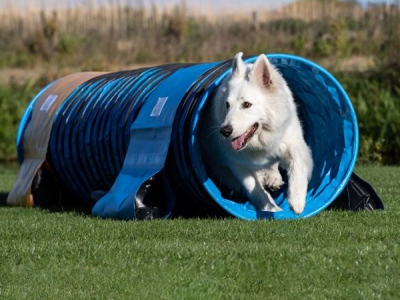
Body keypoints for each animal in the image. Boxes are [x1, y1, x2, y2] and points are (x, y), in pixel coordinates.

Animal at [200, 53, 312, 213]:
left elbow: (297, 164)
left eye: (247, 104)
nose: (225, 131)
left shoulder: (292, 140)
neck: (261, 138)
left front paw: (297, 200)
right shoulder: (235, 162)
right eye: (227, 105)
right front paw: (272, 209)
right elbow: (255, 188)